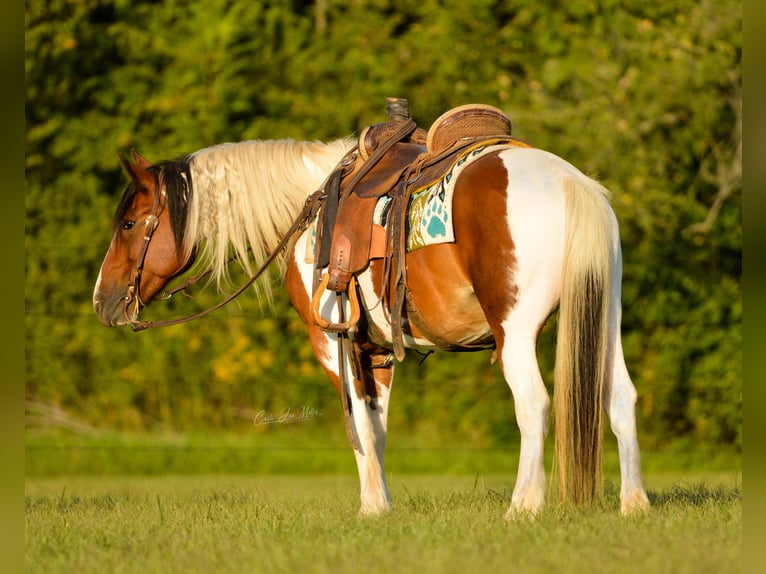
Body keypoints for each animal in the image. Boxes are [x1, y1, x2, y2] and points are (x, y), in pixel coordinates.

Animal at [93, 133, 652, 520]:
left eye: (129, 223)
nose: (103, 301)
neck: (311, 209)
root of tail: (570, 184)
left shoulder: (333, 342)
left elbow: (358, 424)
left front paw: (372, 508)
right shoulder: (376, 350)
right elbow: (378, 427)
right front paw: (379, 502)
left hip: (515, 334)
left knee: (533, 404)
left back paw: (523, 506)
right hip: (605, 323)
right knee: (621, 399)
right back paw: (634, 502)